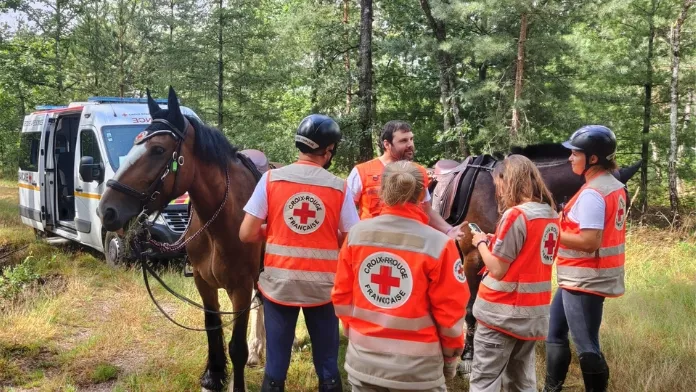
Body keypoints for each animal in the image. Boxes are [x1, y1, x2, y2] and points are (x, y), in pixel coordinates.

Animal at [97, 87, 260, 390]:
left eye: (158, 150)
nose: (107, 210)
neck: (221, 223)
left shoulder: (241, 289)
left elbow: (237, 348)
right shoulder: (203, 283)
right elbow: (211, 327)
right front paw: (214, 375)